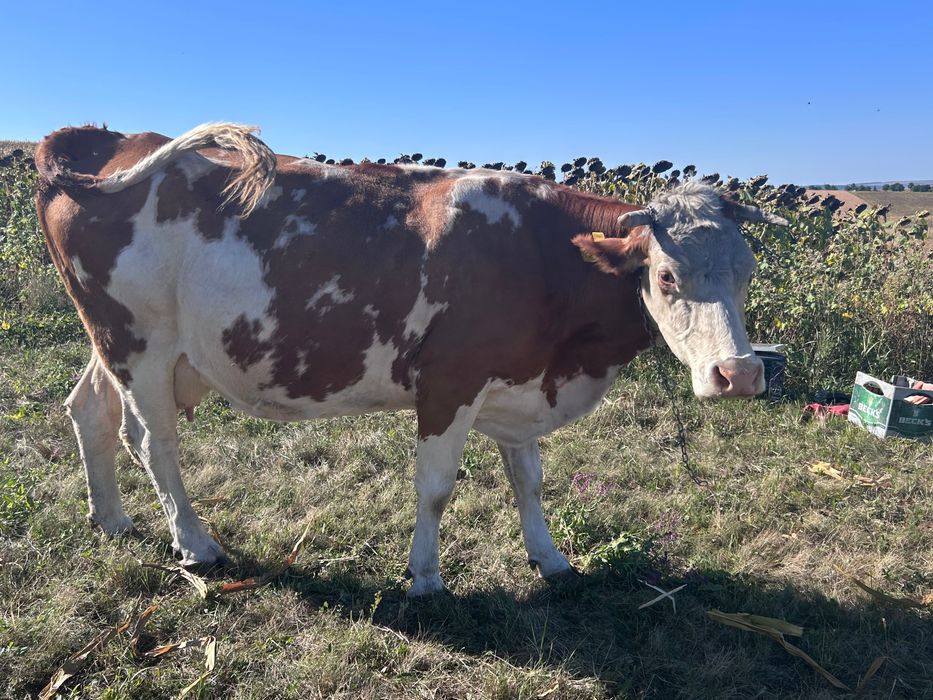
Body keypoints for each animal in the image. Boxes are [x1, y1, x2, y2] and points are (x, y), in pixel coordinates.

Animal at [35, 123, 786, 596]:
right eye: (665, 276)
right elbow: (437, 487)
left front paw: (549, 558)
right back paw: (195, 543)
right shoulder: (449, 382)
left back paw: (112, 519)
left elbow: (529, 481)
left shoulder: (515, 384)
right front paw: (425, 577)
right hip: (140, 343)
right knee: (152, 441)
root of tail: (112, 138)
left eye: (749, 271)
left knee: (89, 412)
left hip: (111, 343)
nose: (739, 373)